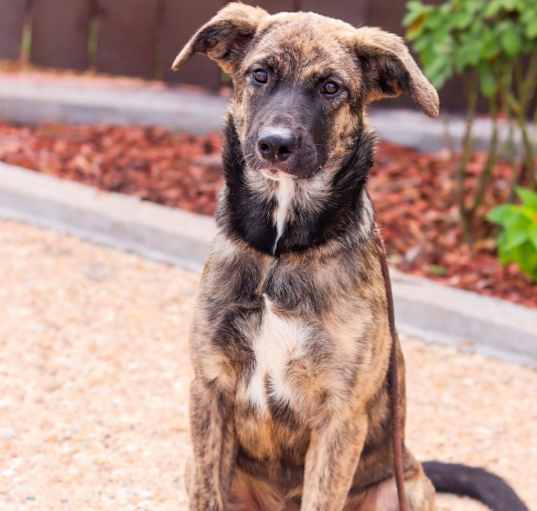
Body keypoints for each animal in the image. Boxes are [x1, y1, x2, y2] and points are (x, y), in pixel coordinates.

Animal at [173, 4, 528, 511]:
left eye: (330, 87)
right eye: (259, 75)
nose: (275, 145)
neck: (282, 250)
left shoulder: (339, 417)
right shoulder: (209, 390)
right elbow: (208, 492)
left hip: (404, 489)